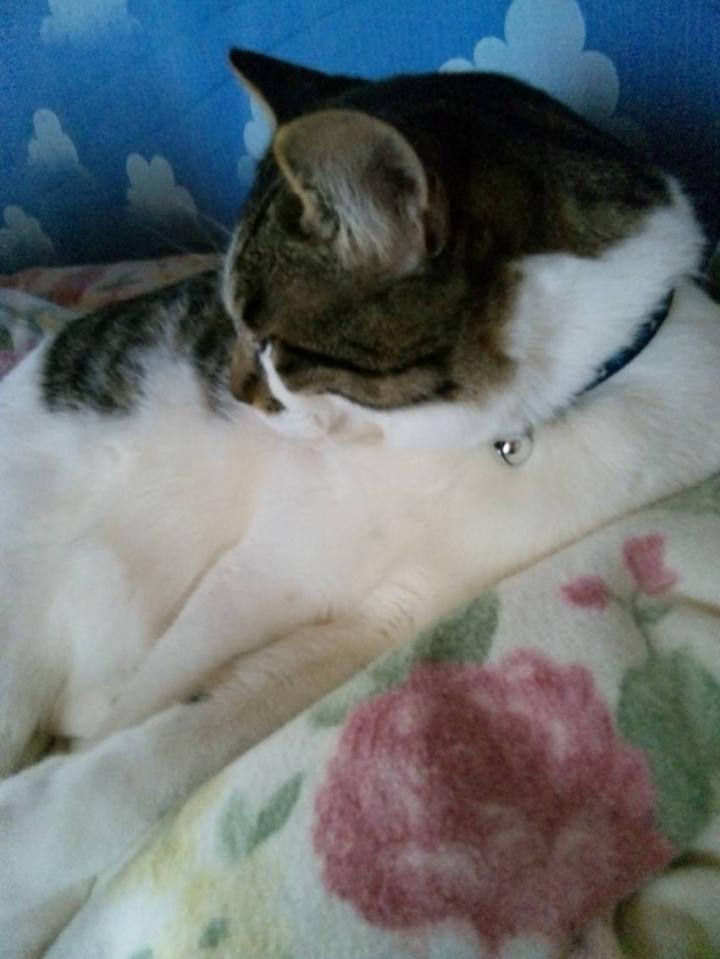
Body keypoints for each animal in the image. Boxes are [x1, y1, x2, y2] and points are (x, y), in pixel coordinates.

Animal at [2, 48, 720, 958]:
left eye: (269, 341)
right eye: (227, 320)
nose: (237, 388)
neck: (488, 438)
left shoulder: (384, 623)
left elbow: (180, 737)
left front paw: (35, 843)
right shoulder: (266, 565)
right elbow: (154, 694)